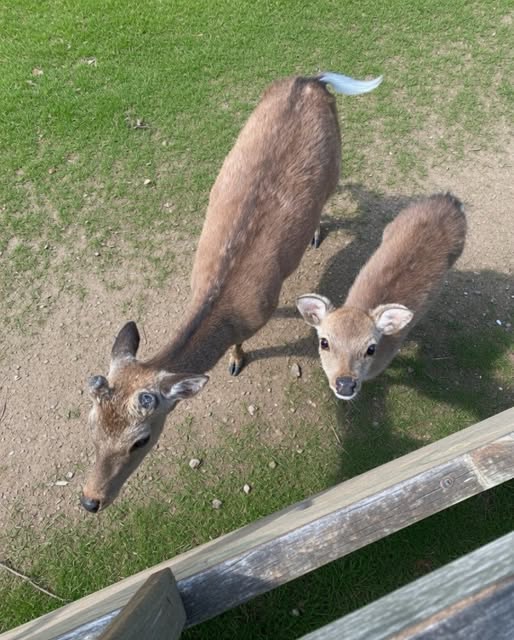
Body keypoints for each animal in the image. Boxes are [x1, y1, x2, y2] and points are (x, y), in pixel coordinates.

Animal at [80, 70, 382, 513]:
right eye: (91, 423)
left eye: (141, 440)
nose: (90, 500)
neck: (219, 297)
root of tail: (311, 79)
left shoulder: (261, 309)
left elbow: (244, 342)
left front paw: (236, 362)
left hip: (337, 159)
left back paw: (314, 234)